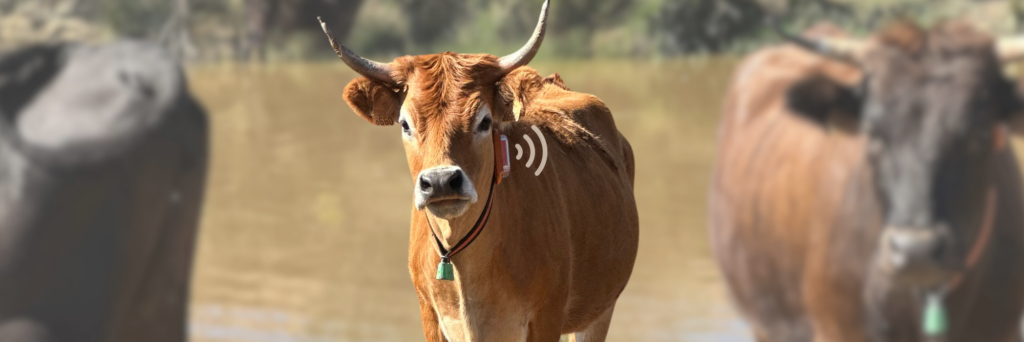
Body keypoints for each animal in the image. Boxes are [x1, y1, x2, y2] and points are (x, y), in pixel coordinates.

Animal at [319, 0, 638, 342]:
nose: (441, 182)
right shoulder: (430, 316)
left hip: (599, 312)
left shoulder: (547, 317)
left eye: (484, 122)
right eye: (405, 123)